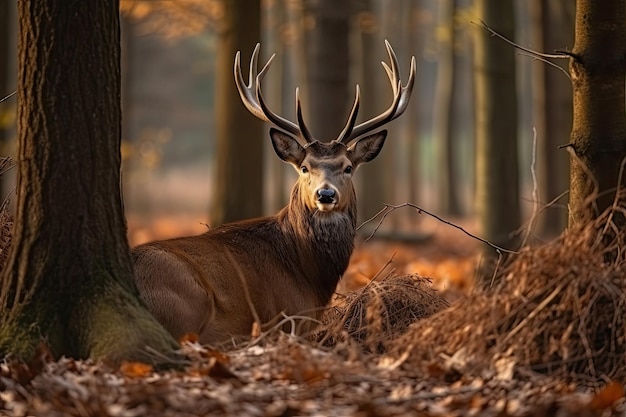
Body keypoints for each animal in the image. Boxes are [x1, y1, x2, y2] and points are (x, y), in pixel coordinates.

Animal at [132, 40, 414, 342]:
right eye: (304, 167)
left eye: (348, 167)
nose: (325, 195)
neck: (309, 274)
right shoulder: (289, 317)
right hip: (189, 301)